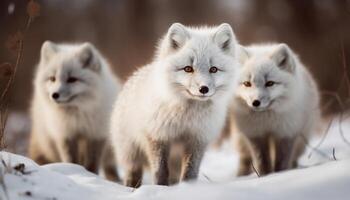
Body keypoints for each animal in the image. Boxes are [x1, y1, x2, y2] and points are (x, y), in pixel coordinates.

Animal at [28, 41, 120, 180]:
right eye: (52, 78)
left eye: (72, 79)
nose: (55, 95)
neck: (77, 116)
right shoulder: (65, 134)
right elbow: (71, 159)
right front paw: (75, 172)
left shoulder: (96, 134)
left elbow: (92, 162)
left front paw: (91, 176)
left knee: (110, 167)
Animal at [110, 22, 241, 187]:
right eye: (188, 69)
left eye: (213, 69)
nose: (204, 89)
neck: (186, 117)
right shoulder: (158, 137)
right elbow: (160, 170)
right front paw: (160, 187)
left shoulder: (197, 140)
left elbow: (190, 172)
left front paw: (186, 187)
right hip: (131, 154)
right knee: (133, 173)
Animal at [228, 43, 322, 176]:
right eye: (247, 83)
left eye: (270, 83)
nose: (255, 102)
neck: (267, 122)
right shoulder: (255, 135)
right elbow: (261, 161)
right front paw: (264, 176)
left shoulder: (286, 133)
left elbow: (281, 161)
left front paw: (280, 174)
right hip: (240, 139)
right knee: (244, 159)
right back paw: (241, 175)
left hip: (301, 142)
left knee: (294, 158)